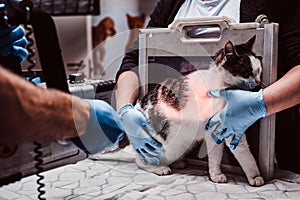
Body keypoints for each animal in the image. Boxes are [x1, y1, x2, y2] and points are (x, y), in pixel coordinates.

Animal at [134, 35, 264, 187]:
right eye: (248, 72)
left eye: (259, 71)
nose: (258, 81)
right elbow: (232, 155)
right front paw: (251, 176)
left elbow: (231, 155)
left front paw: (221, 175)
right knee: (141, 161)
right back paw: (160, 168)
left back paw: (178, 163)